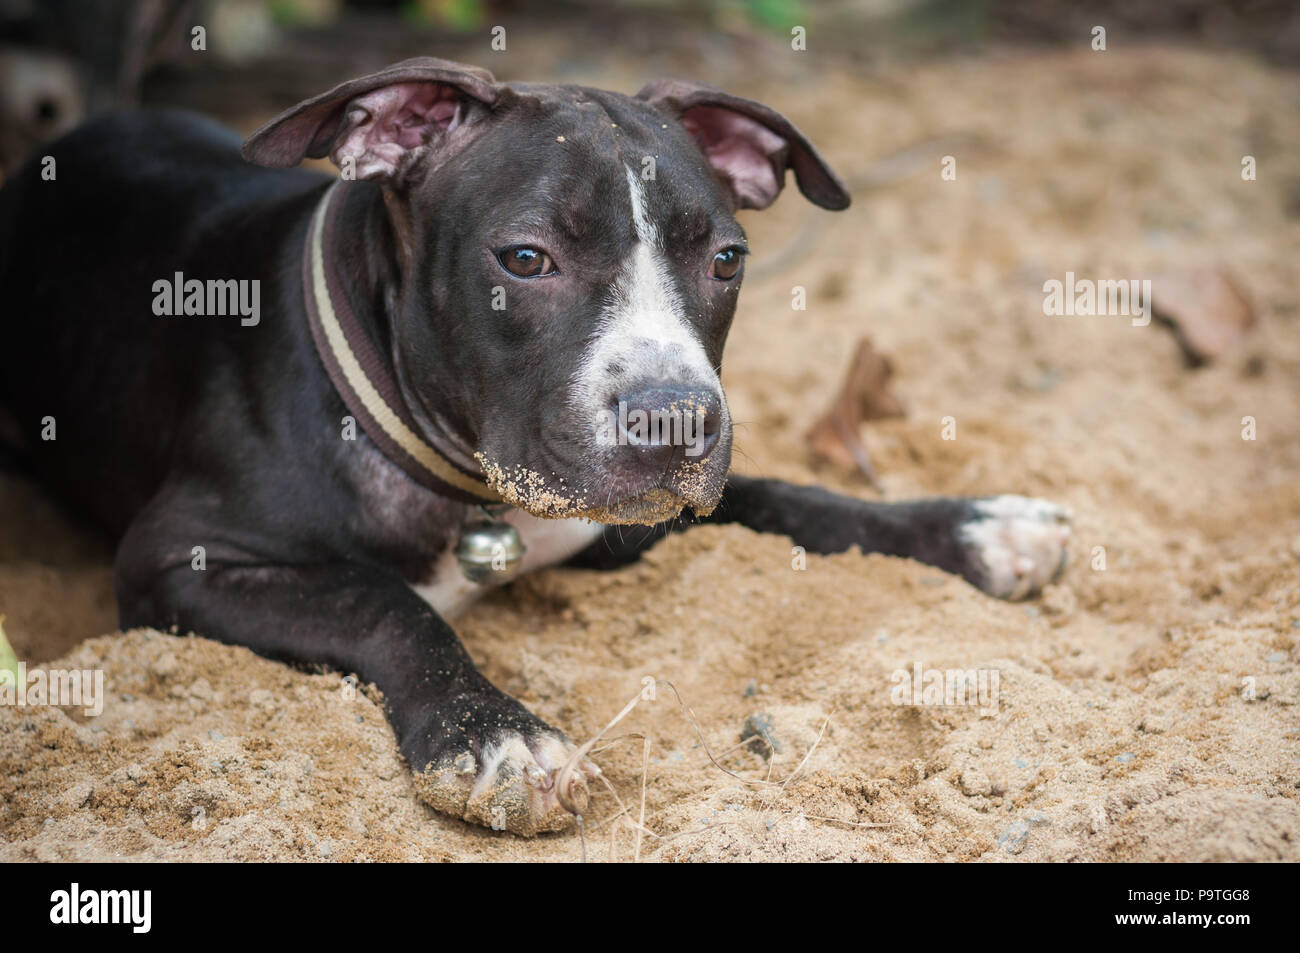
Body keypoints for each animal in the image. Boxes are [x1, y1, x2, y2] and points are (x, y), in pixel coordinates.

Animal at [0, 57, 1066, 832]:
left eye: (727, 260)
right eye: (525, 259)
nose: (678, 417)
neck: (473, 488)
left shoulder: (634, 523)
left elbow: (801, 500)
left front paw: (981, 525)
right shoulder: (174, 560)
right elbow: (384, 602)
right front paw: (497, 739)